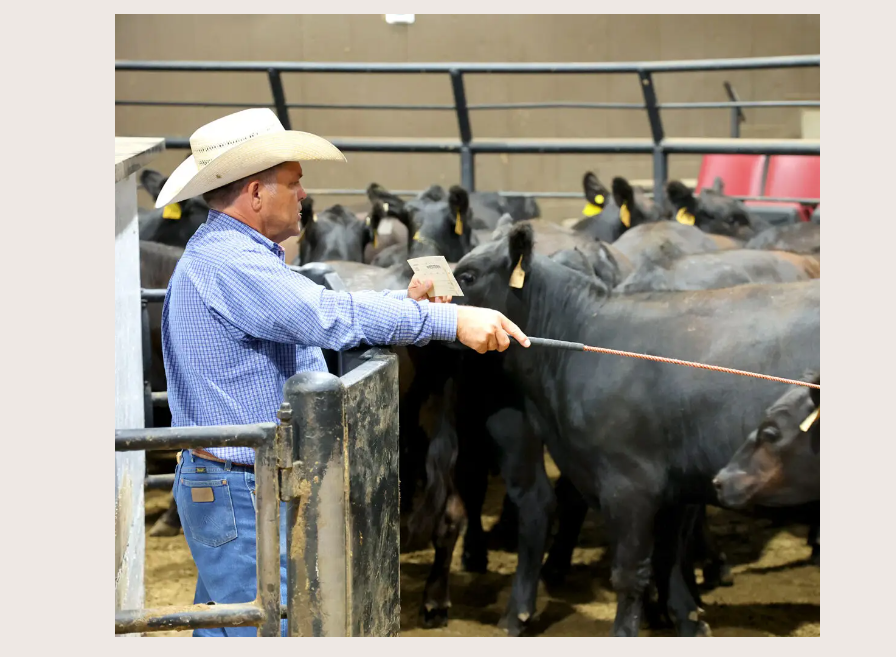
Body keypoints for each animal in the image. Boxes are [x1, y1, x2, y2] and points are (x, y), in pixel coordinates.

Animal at [446, 222, 819, 636]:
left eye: (467, 276)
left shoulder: (629, 485)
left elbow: (630, 572)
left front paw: (626, 630)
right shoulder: (675, 485)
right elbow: (667, 558)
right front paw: (688, 619)